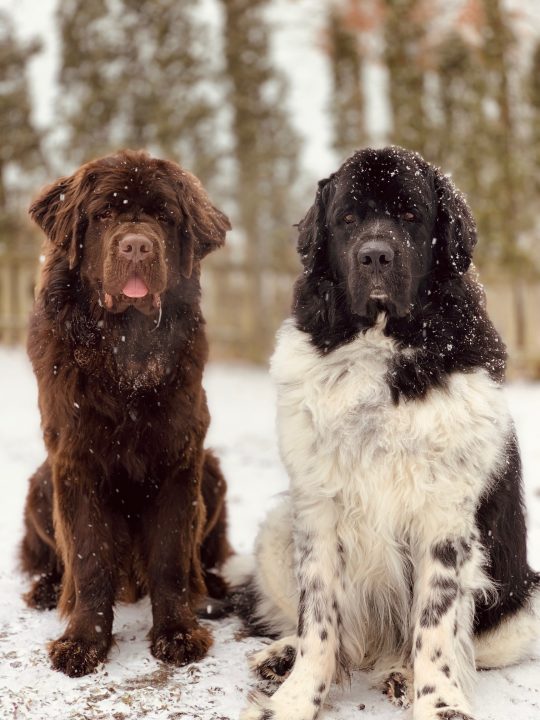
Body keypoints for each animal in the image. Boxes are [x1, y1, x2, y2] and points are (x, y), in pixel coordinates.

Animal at [20, 149, 231, 676]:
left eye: (165, 216)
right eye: (103, 215)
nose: (136, 246)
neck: (124, 353)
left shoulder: (180, 458)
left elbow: (171, 558)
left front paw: (178, 634)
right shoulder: (75, 460)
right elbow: (89, 556)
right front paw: (82, 643)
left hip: (213, 473)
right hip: (40, 482)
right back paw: (47, 589)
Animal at [229, 148, 540, 720]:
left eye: (412, 217)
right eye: (348, 219)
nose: (376, 255)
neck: (380, 341)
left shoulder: (444, 515)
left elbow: (435, 624)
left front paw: (439, 703)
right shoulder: (318, 508)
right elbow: (318, 619)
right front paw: (294, 698)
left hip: (520, 603)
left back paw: (400, 673)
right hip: (279, 530)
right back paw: (281, 656)